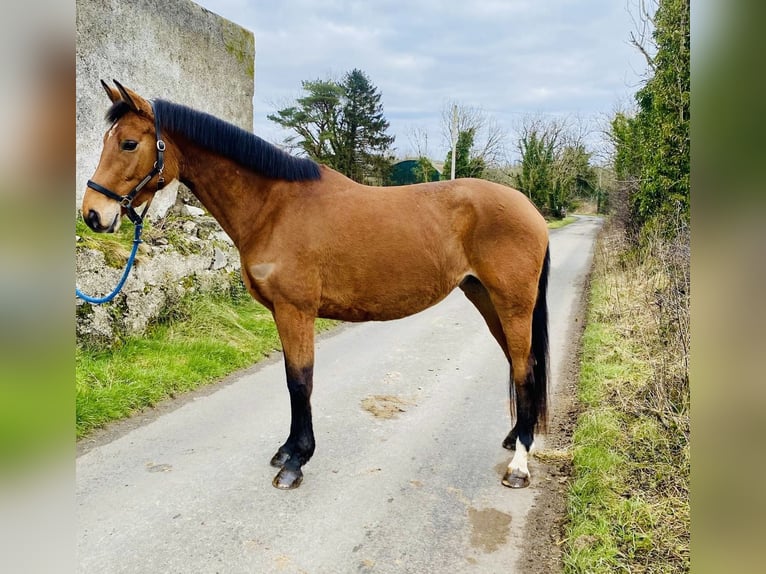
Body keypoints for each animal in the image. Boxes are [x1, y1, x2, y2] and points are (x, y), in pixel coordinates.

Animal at [82, 81, 552, 492]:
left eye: (129, 144)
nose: (93, 214)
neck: (274, 207)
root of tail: (529, 208)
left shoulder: (296, 310)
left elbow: (300, 382)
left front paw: (295, 462)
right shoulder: (281, 312)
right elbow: (292, 379)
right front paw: (288, 450)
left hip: (512, 304)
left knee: (524, 370)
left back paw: (519, 465)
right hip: (486, 300)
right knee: (518, 364)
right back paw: (515, 438)